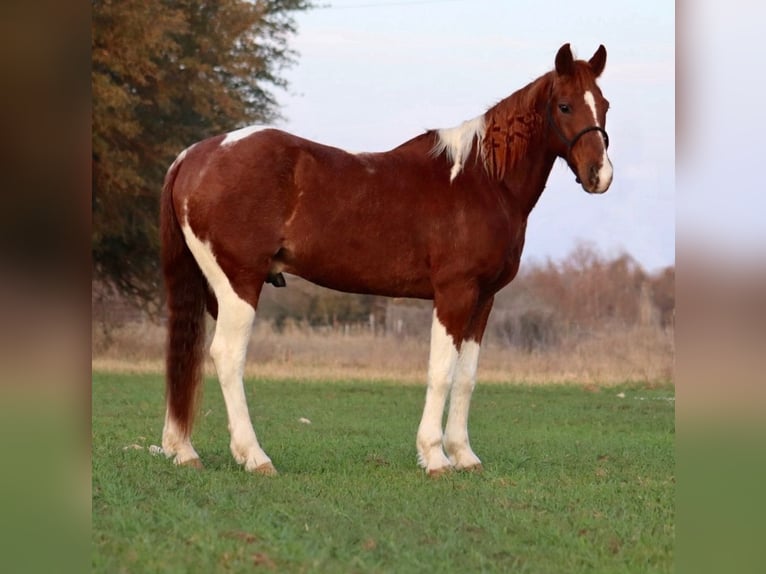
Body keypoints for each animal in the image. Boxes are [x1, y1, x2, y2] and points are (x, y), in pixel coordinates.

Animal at [159, 43, 613, 476]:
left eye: (605, 105)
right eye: (565, 106)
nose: (600, 175)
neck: (483, 181)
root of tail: (194, 156)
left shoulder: (484, 299)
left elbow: (466, 377)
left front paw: (464, 456)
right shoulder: (455, 293)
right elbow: (441, 372)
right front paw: (435, 457)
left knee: (187, 353)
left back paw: (183, 450)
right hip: (239, 282)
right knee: (227, 356)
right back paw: (254, 456)